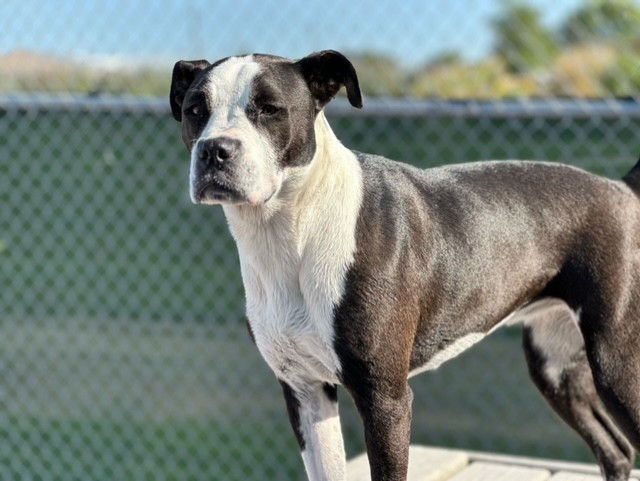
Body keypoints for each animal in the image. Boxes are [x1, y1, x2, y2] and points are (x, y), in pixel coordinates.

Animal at [169, 49, 640, 480]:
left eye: (269, 109)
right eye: (195, 110)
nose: (215, 150)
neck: (292, 231)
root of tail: (620, 189)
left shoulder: (385, 400)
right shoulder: (304, 391)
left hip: (616, 364)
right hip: (556, 368)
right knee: (616, 451)